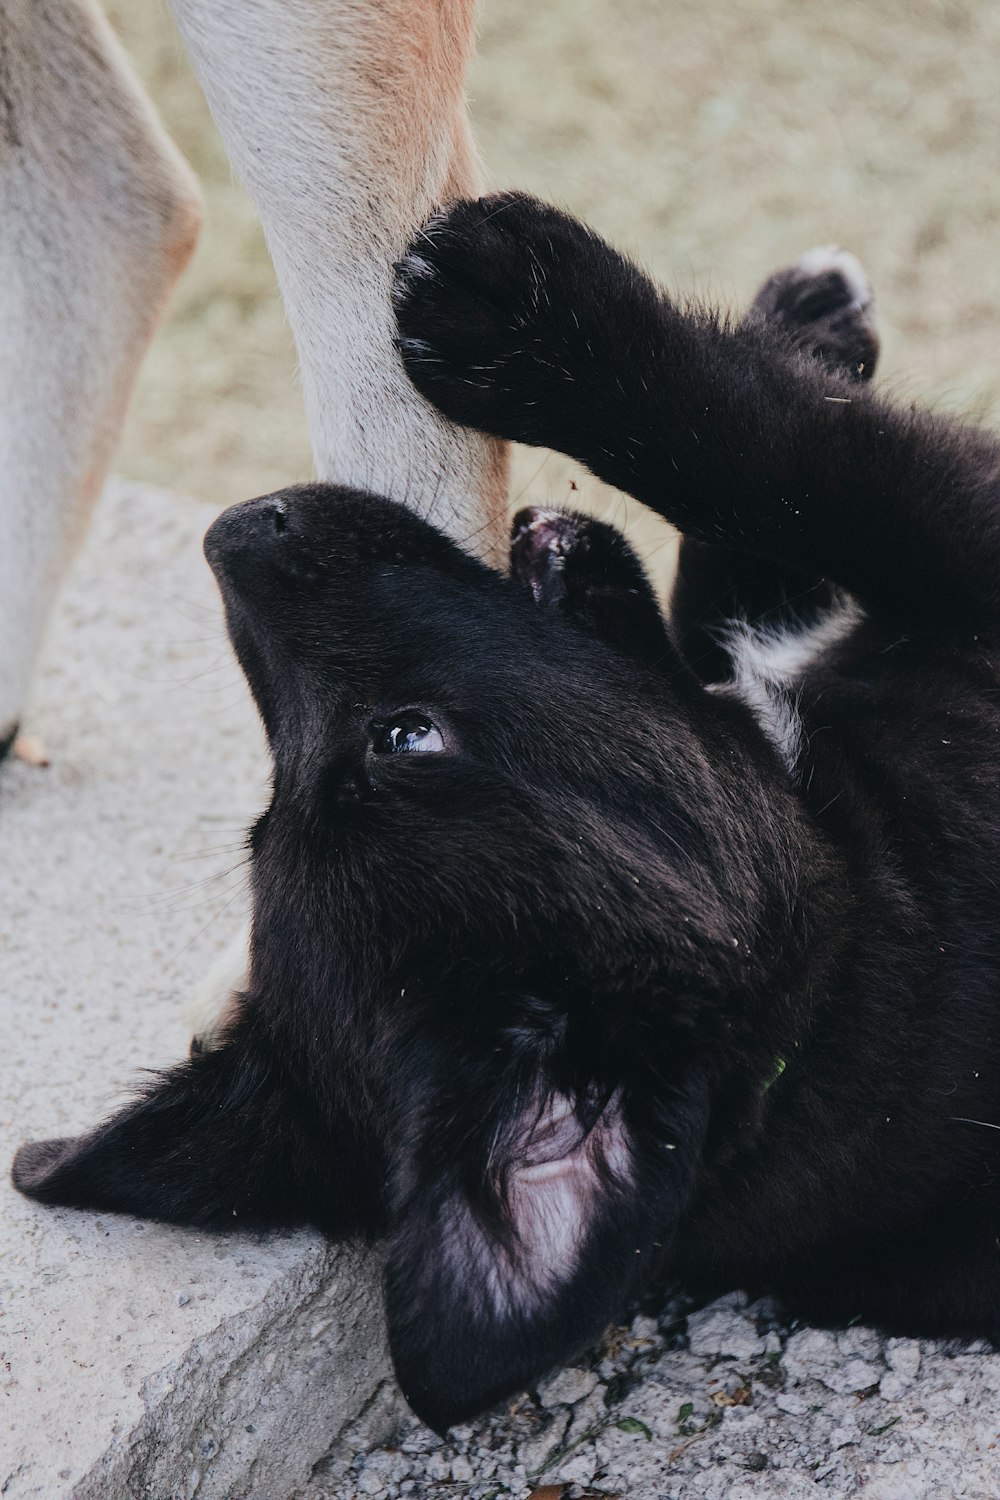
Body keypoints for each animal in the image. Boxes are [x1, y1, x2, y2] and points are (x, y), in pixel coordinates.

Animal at [9, 193, 1000, 1434]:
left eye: (399, 742)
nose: (232, 533)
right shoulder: (957, 545)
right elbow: (785, 457)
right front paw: (535, 314)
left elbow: (751, 528)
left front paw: (794, 319)